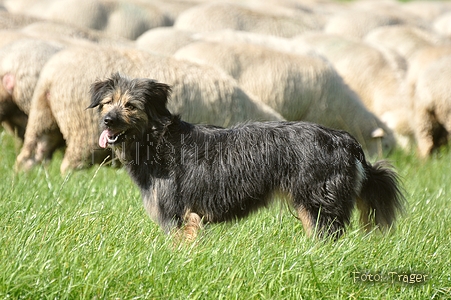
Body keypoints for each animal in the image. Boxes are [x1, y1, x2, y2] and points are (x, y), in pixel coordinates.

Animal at [88, 73, 406, 241]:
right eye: (106, 103)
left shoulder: (179, 217)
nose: (107, 121)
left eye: (130, 106)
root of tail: (345, 140)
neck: (157, 140)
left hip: (317, 202)